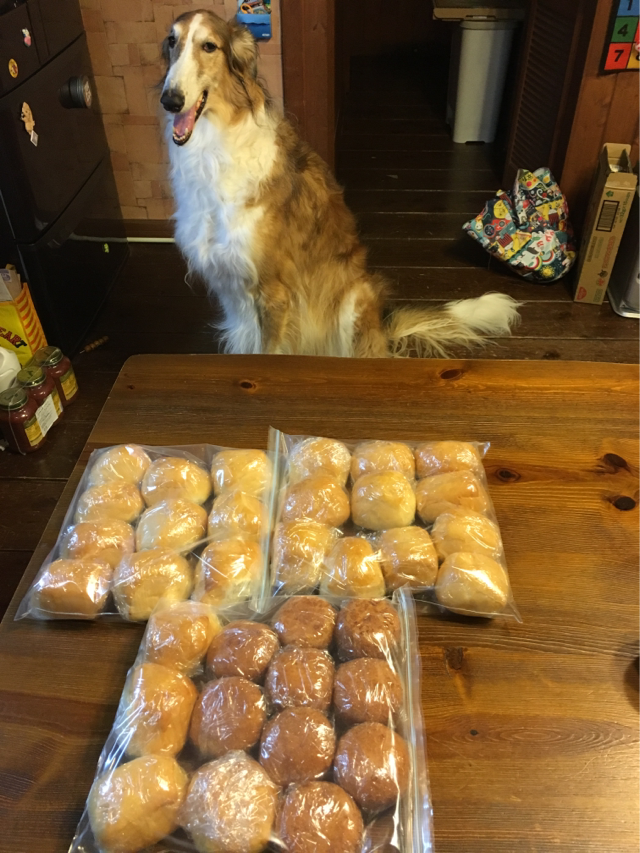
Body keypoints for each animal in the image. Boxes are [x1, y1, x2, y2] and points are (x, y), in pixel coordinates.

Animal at [160, 11, 520, 357]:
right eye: (171, 41)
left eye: (209, 46)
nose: (170, 100)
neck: (213, 149)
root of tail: (382, 329)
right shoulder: (234, 294)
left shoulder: (274, 293)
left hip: (351, 299)